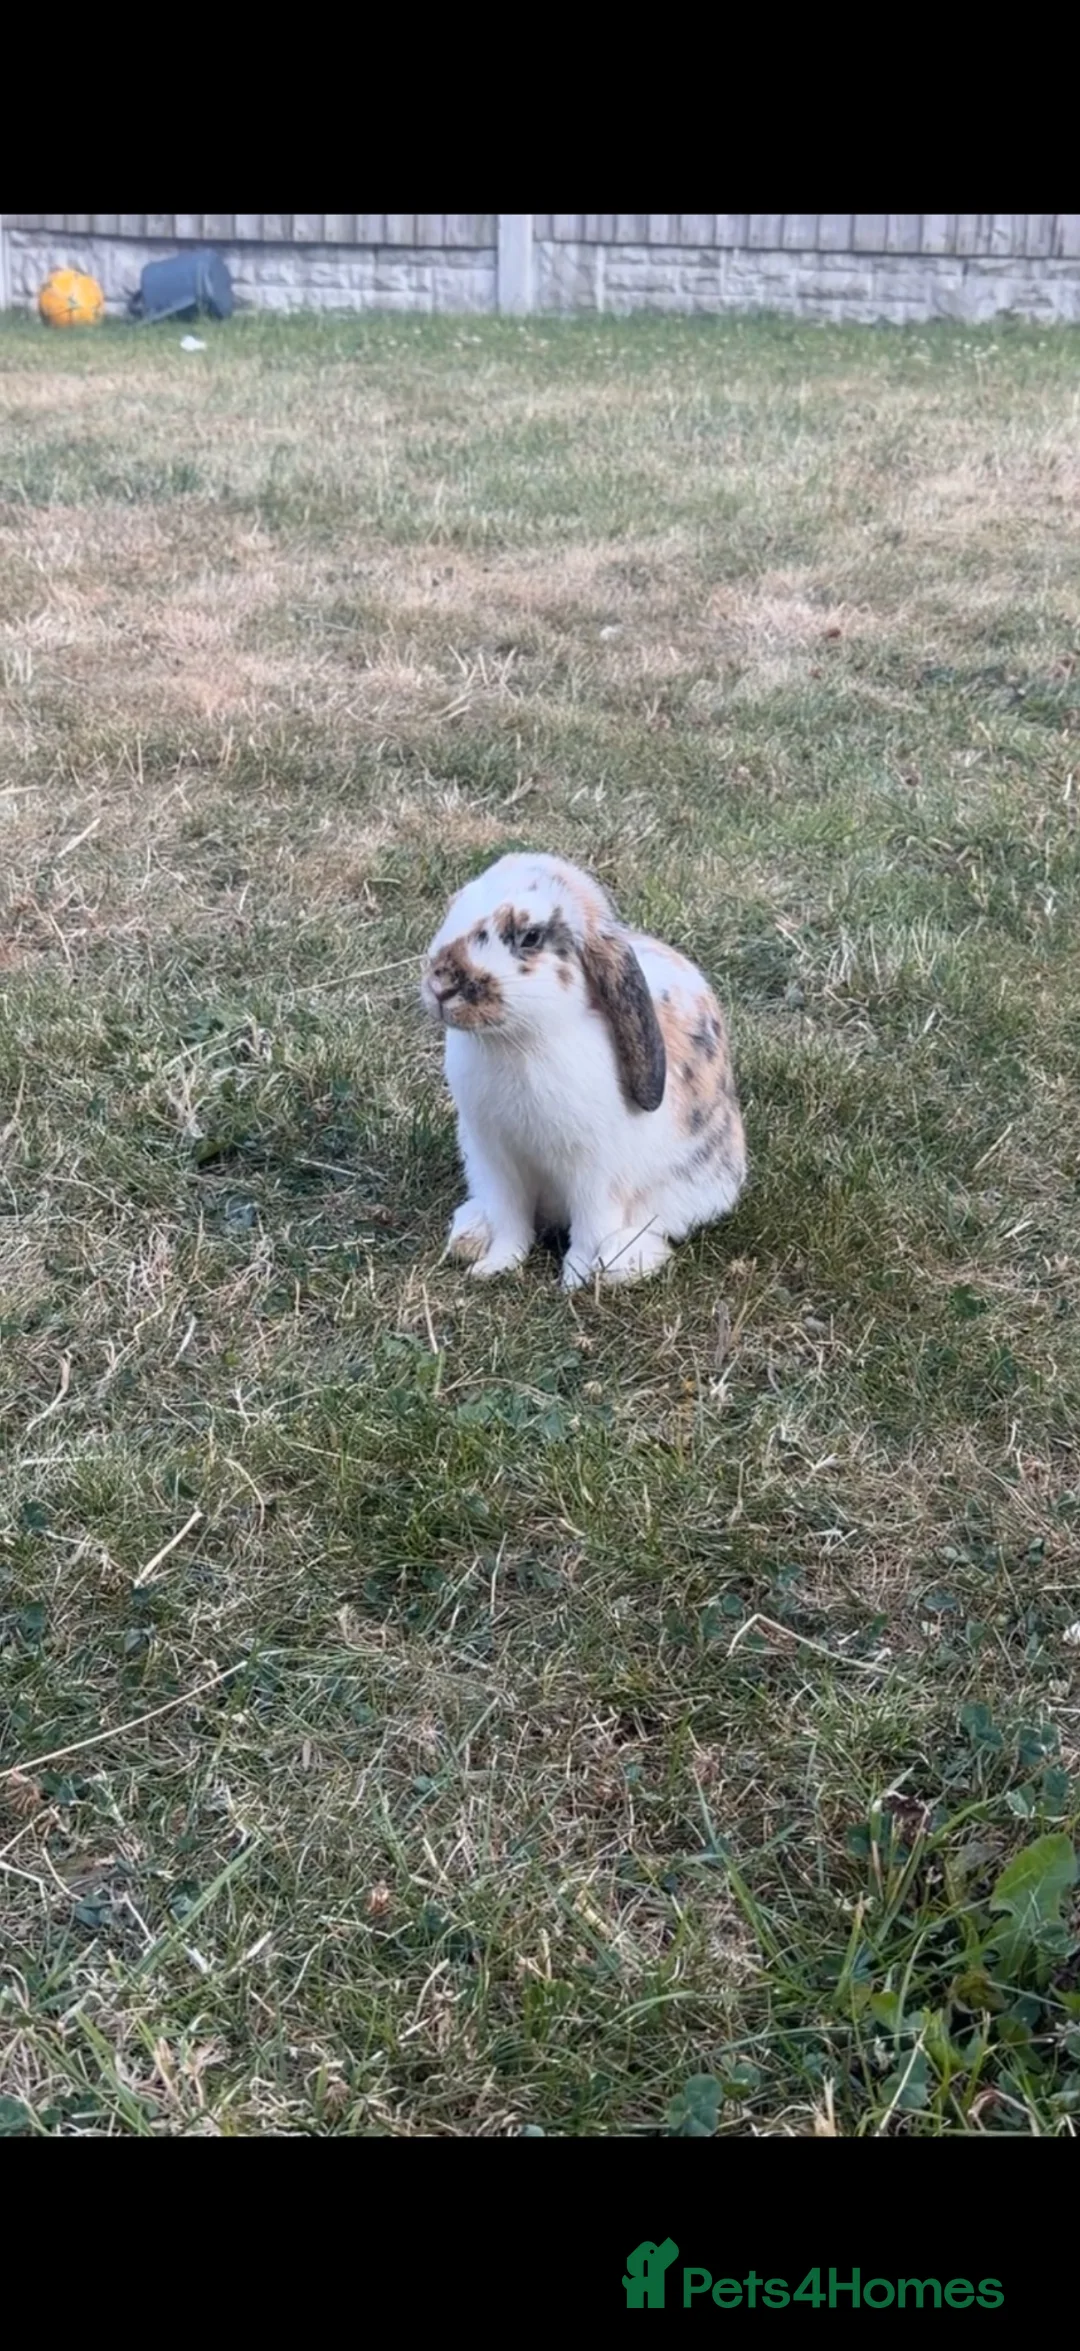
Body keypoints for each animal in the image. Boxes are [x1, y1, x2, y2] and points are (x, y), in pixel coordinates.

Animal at [420, 851, 746, 1289]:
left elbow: (589, 1232)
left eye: (530, 937)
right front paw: (495, 1267)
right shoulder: (498, 1162)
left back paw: (622, 1262)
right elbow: (511, 1227)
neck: (518, 1041)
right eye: (455, 905)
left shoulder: (595, 1176)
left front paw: (573, 1282)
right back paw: (470, 1235)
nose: (441, 985)